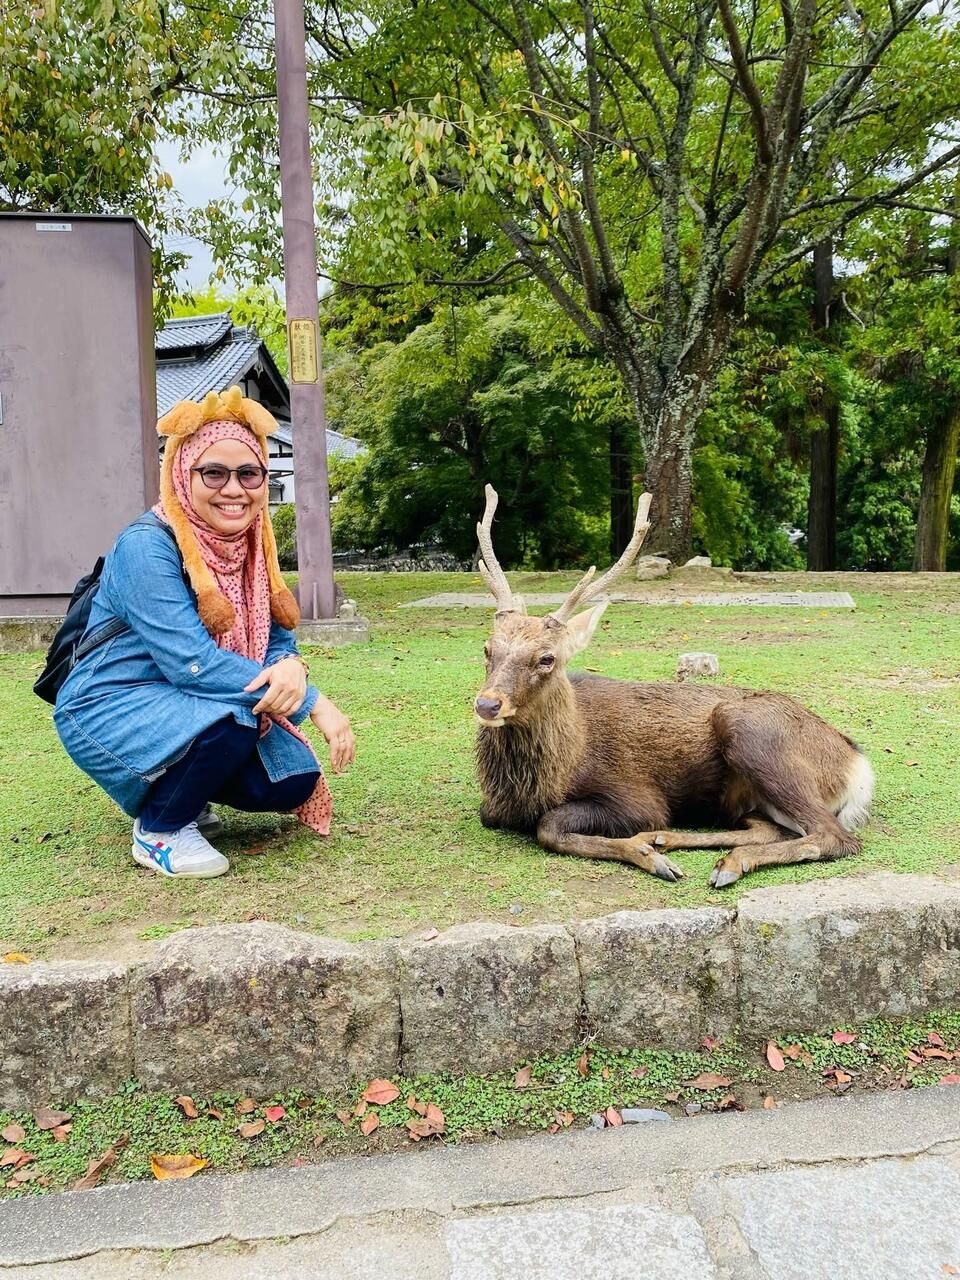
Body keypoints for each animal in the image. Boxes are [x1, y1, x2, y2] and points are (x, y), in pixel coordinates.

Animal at [472, 486, 874, 888]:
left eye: (547, 658)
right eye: (487, 648)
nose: (488, 704)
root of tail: (858, 766)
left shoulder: (638, 797)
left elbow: (549, 825)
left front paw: (648, 856)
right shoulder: (492, 806)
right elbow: (492, 815)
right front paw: (649, 850)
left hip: (754, 735)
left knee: (834, 836)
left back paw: (724, 861)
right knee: (770, 828)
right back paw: (671, 842)